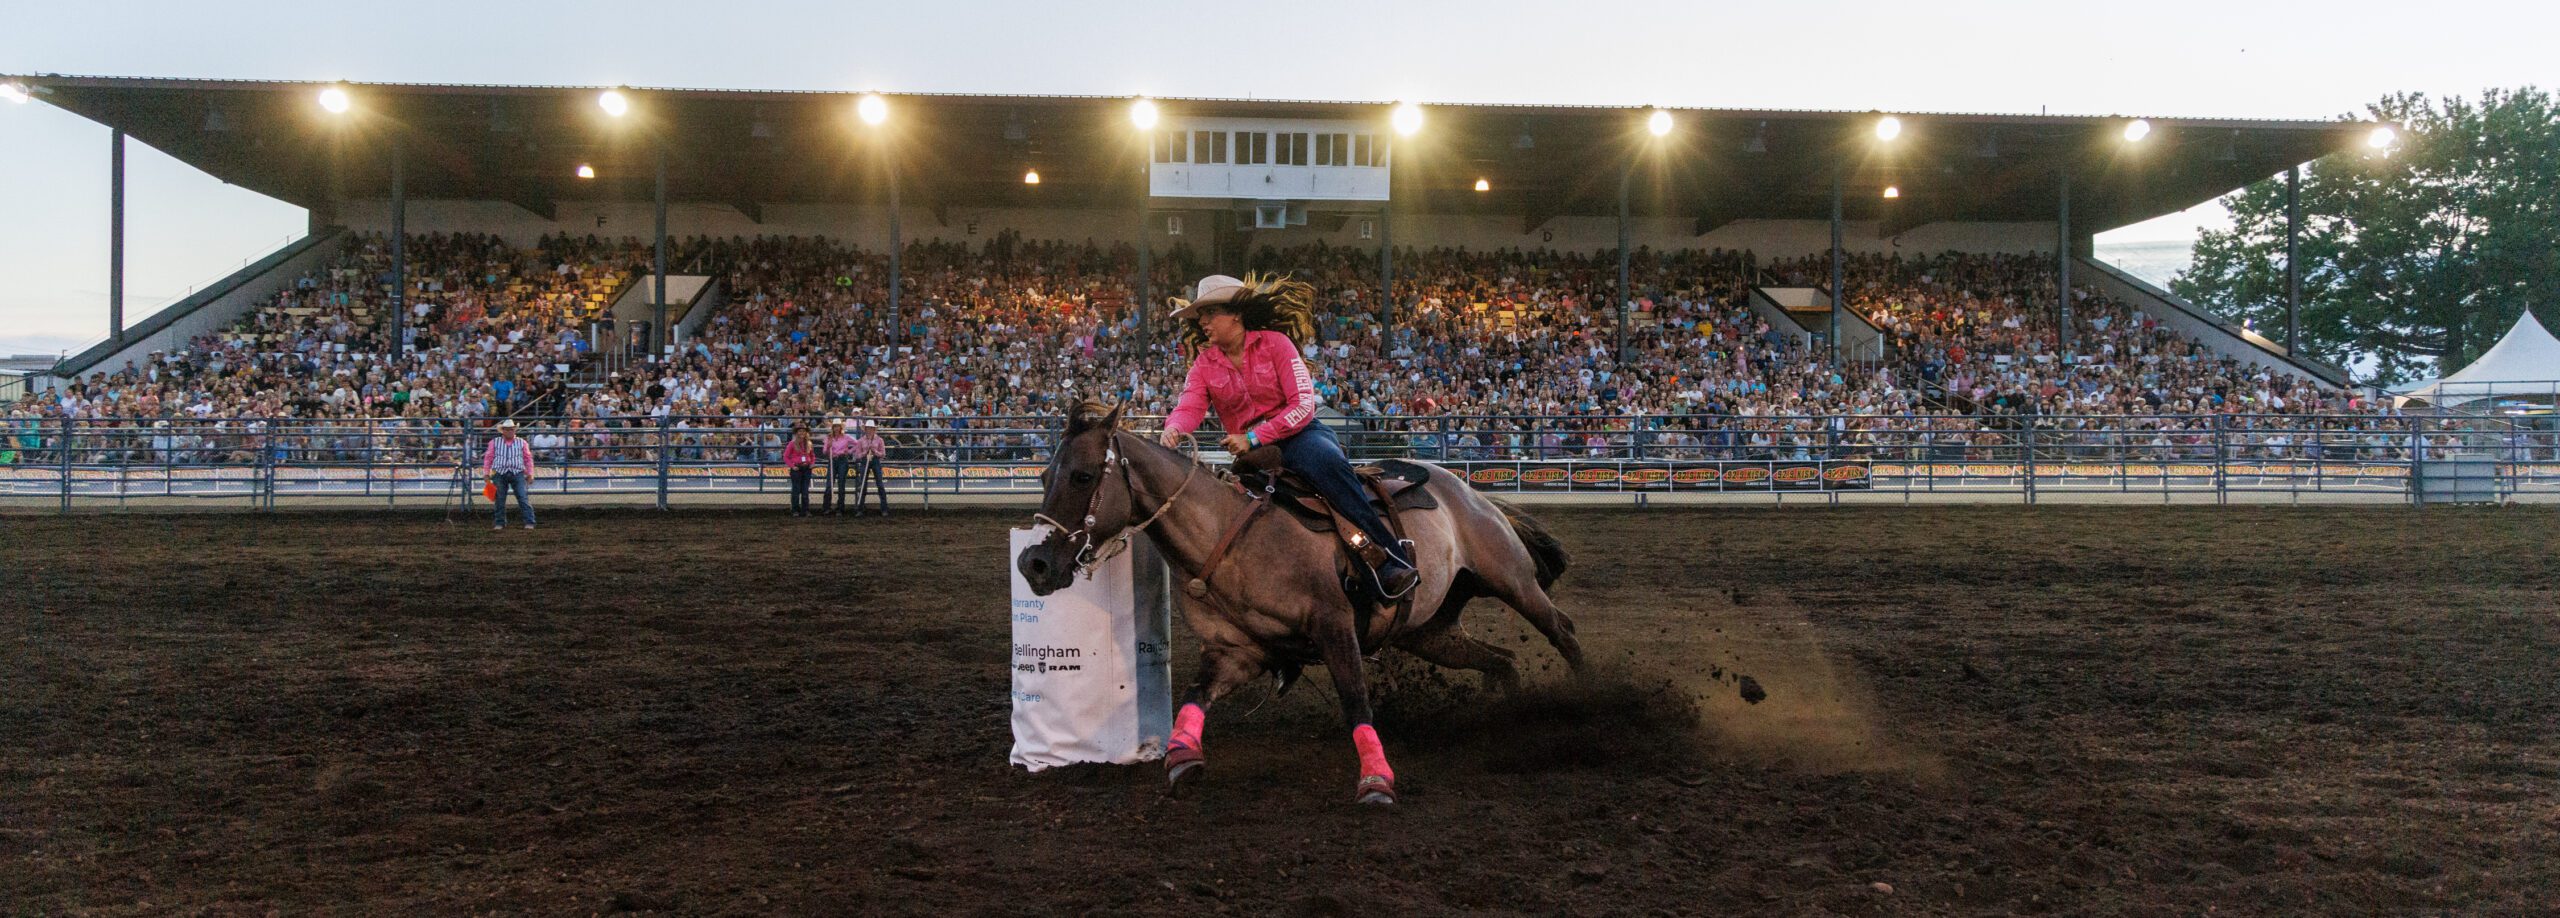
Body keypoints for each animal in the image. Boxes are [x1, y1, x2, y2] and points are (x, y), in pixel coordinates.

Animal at [1013, 404, 1576, 808]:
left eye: (1084, 476)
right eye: (1043, 476)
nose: (1033, 564)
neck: (1231, 536)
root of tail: (1468, 489)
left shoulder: (1334, 628)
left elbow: (1355, 701)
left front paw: (1376, 782)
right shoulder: (1236, 651)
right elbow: (1195, 695)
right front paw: (1180, 757)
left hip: (1512, 580)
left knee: (1561, 631)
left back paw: (1583, 693)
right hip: (1432, 632)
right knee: (1500, 661)